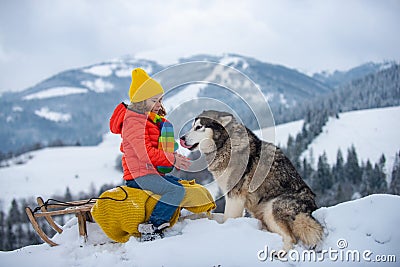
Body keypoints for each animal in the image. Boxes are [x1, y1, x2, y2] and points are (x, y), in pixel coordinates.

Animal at [180, 110, 324, 251]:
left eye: (199, 127)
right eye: (192, 126)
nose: (181, 138)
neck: (226, 144)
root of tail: (311, 208)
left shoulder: (235, 195)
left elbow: (228, 218)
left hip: (271, 209)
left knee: (291, 239)